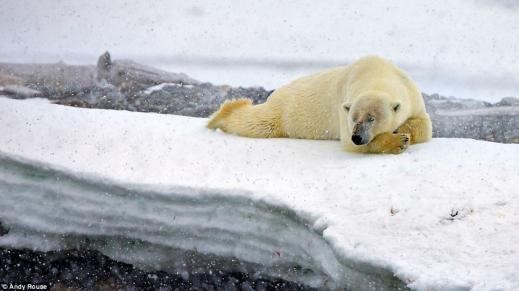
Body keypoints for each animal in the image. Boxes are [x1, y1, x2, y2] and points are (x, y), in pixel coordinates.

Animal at [207, 55, 430, 155]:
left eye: (371, 118)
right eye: (354, 118)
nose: (357, 136)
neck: (377, 74)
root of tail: (277, 92)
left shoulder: (410, 91)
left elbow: (424, 125)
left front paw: (402, 130)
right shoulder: (343, 107)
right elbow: (349, 145)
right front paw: (398, 140)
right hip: (284, 109)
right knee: (259, 123)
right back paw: (223, 114)